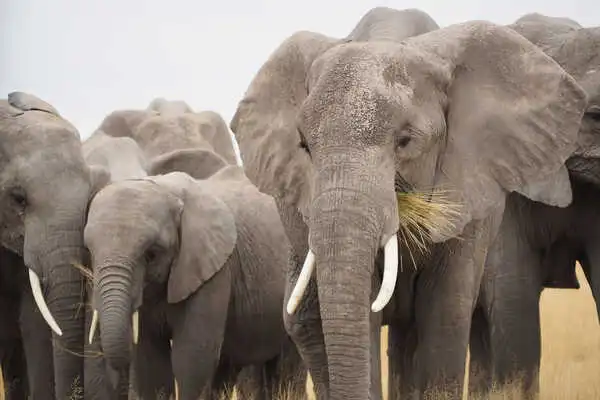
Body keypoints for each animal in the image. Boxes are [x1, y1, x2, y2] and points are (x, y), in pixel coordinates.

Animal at [84, 148, 308, 398]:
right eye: (90, 251)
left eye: (151, 254)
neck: (166, 189)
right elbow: (151, 362)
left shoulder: (214, 270)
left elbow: (191, 357)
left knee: (286, 366)